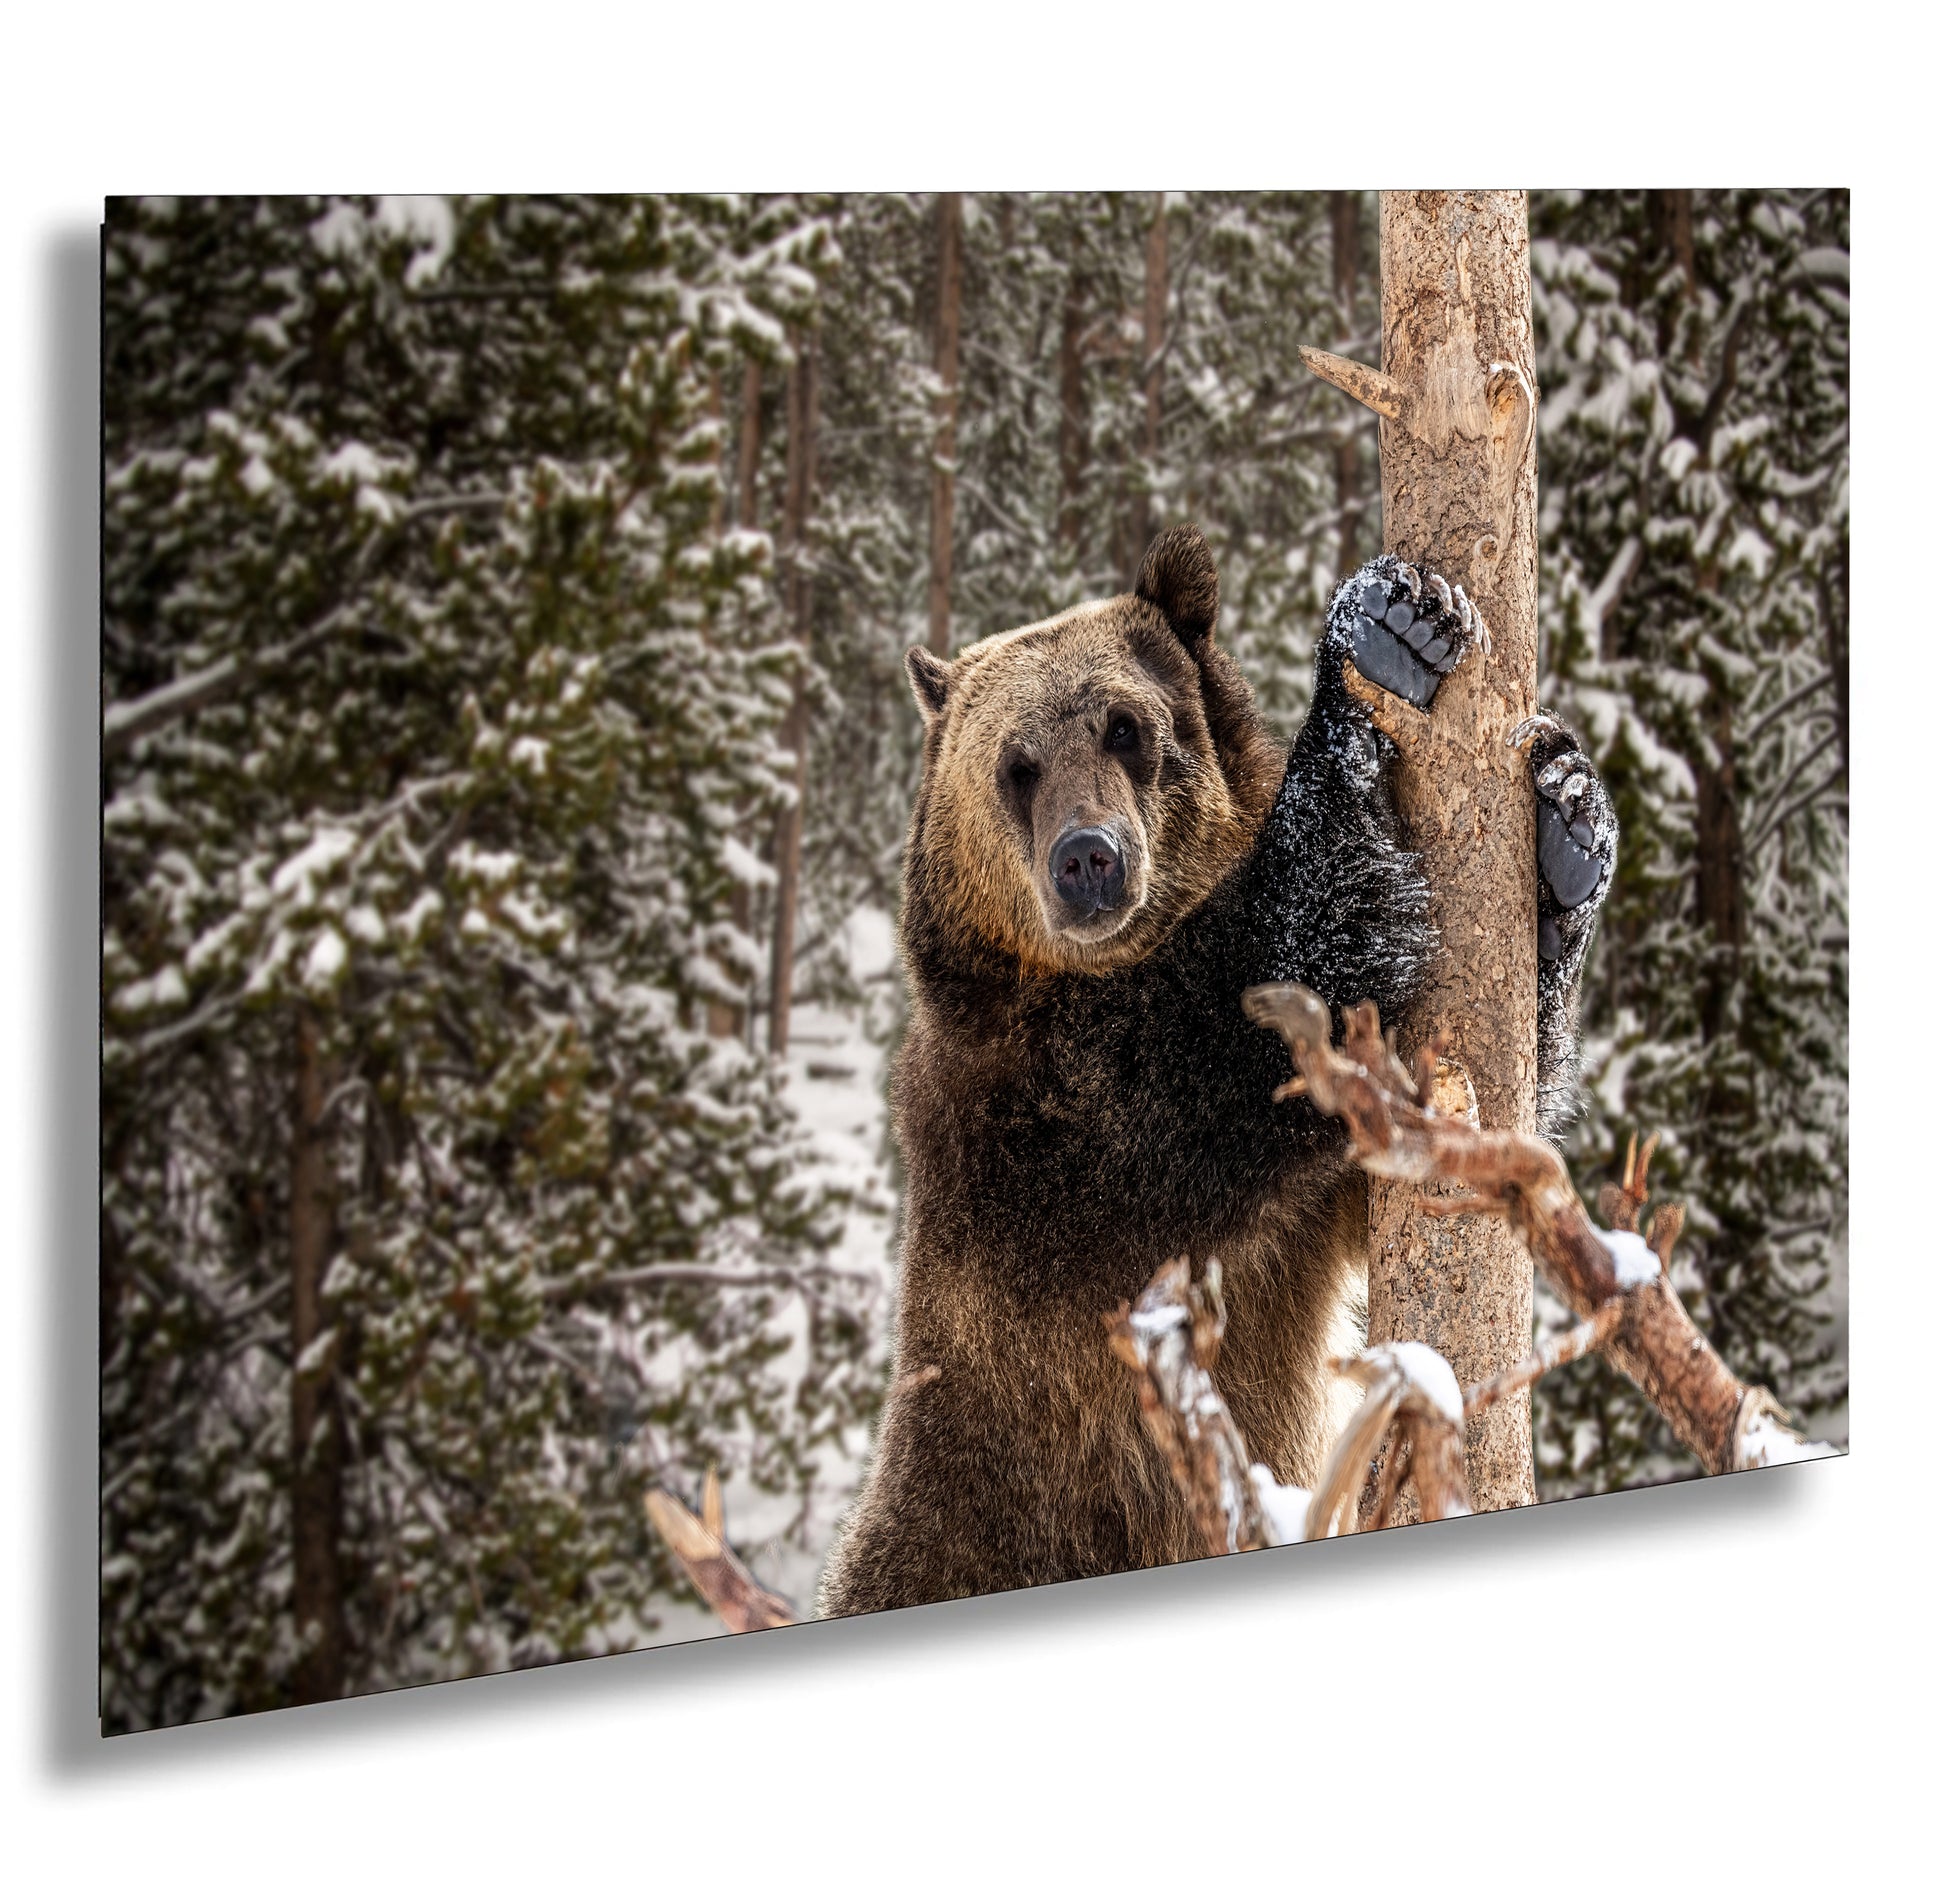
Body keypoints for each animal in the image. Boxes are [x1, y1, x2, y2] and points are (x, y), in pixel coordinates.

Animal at [817, 525, 1611, 1618]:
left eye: (1124, 727)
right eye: (1016, 764)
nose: (1088, 858)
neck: (1106, 967)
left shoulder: (1304, 1205)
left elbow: (1431, 1133)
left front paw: (1564, 822)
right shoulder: (1059, 1130)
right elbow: (1265, 992)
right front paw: (1383, 637)